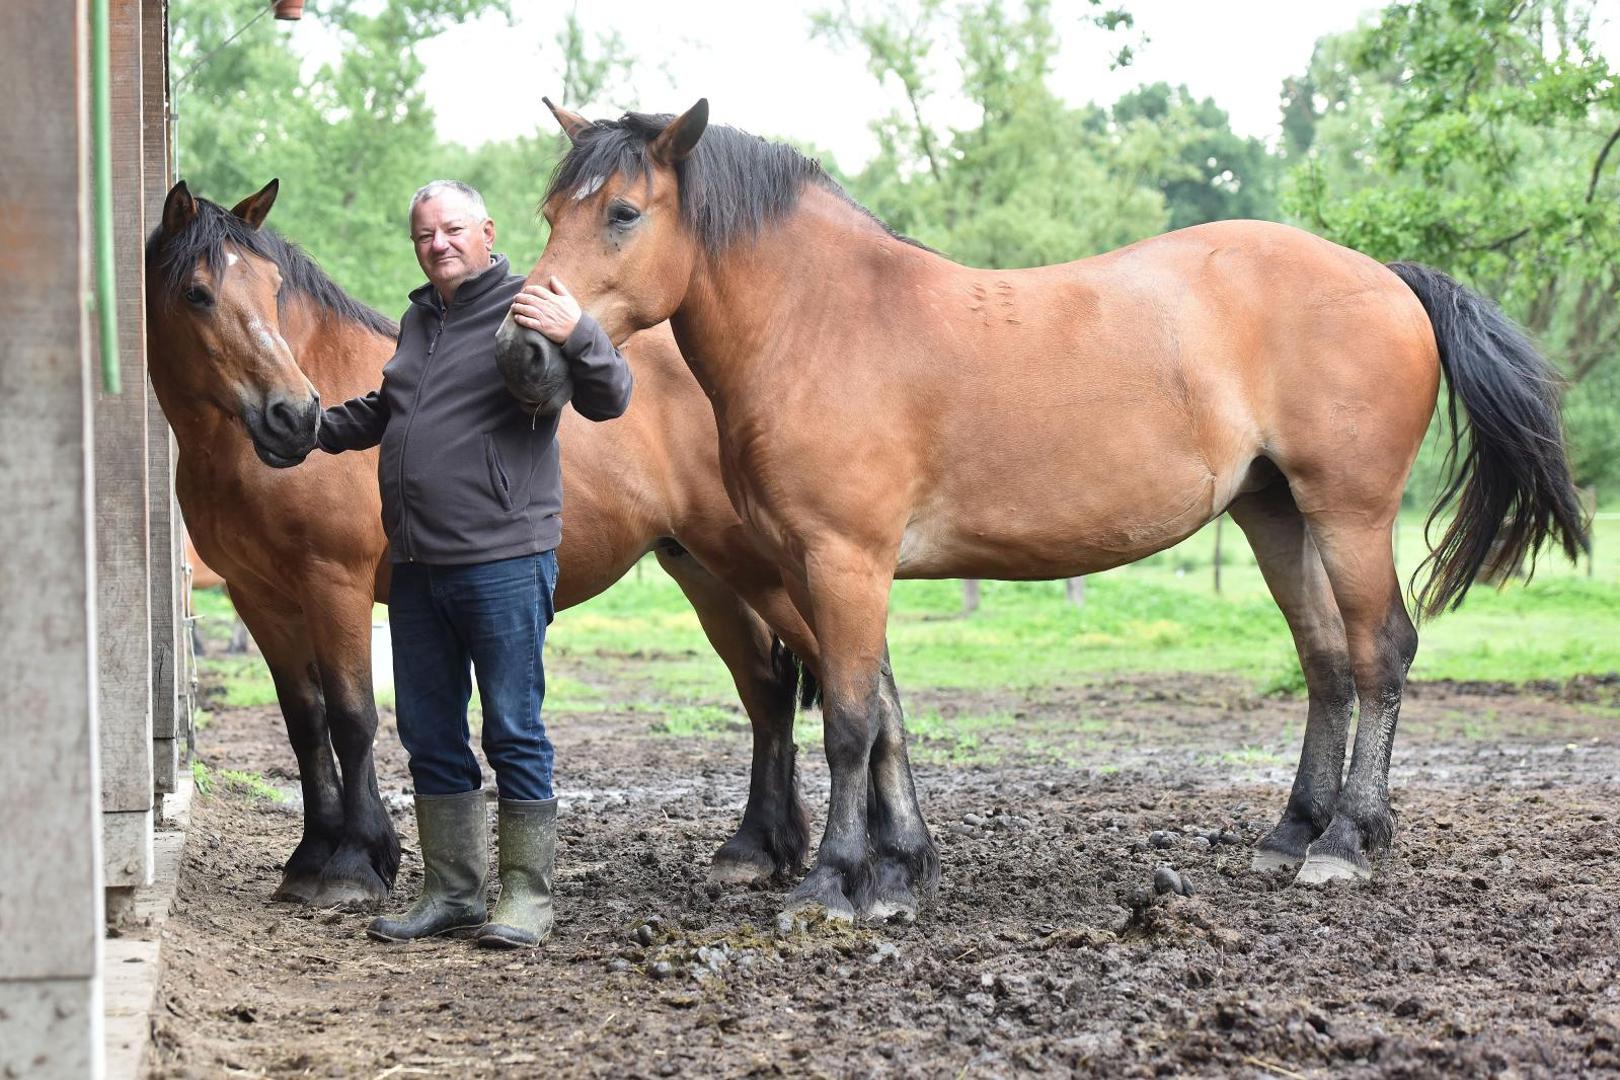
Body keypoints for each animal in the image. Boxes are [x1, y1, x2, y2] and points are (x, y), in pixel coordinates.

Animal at [145, 181, 829, 906]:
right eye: (197, 293)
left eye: (273, 287)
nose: (295, 416)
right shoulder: (261, 600)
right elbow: (305, 724)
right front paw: (310, 859)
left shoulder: (334, 585)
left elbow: (353, 718)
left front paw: (354, 864)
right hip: (708, 575)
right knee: (767, 691)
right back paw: (757, 850)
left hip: (775, 575)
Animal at [502, 103, 1581, 919]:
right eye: (553, 207)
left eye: (625, 213)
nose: (525, 349)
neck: (829, 321)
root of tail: (1384, 276)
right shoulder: (819, 569)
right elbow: (885, 717)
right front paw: (899, 872)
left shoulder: (844, 560)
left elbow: (848, 721)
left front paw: (835, 883)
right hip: (1274, 515)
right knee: (1323, 662)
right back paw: (1290, 833)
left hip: (1348, 510)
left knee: (1377, 652)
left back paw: (1348, 841)